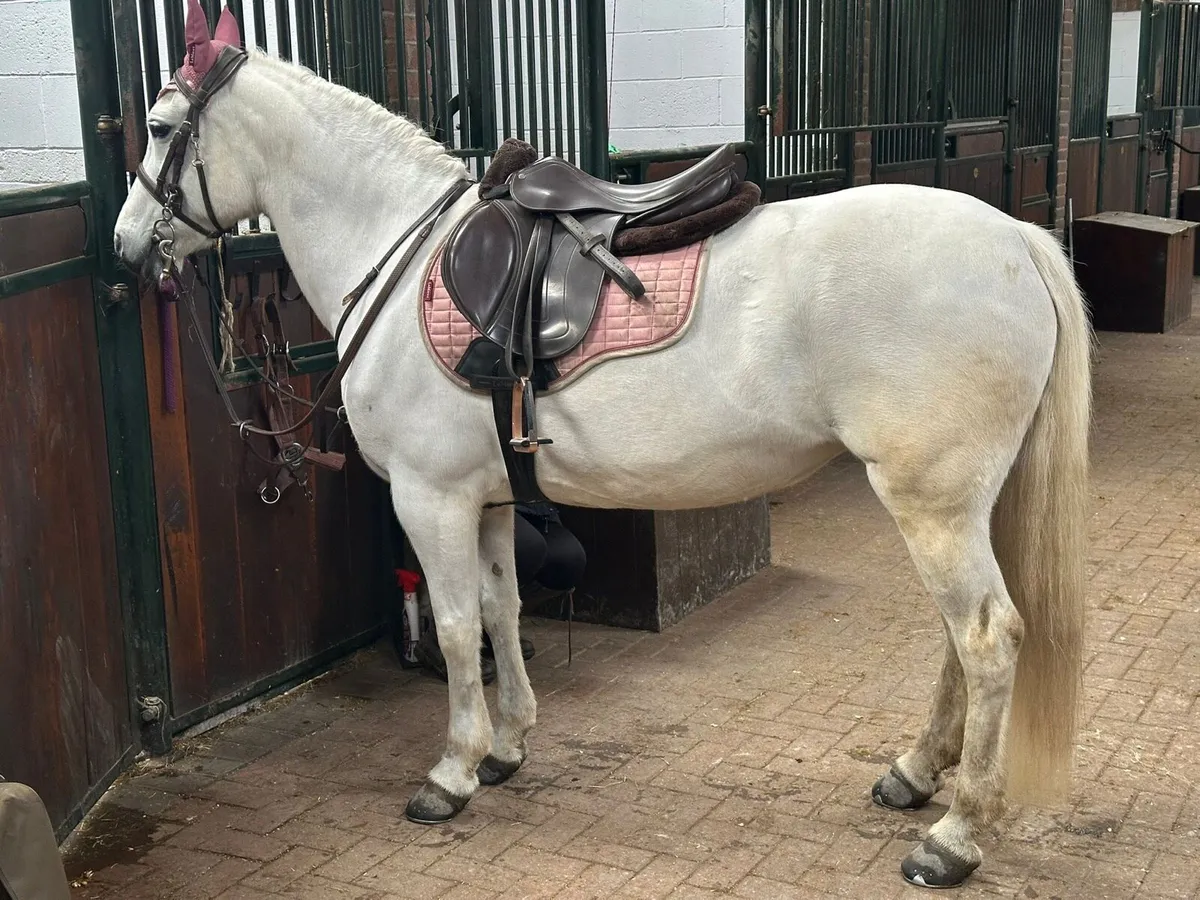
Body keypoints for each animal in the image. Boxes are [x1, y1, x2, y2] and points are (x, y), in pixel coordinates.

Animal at [113, 3, 1091, 888]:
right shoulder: (488, 498)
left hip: (933, 505)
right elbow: (502, 612)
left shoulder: (431, 497)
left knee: (986, 638)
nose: (125, 246)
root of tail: (1015, 237)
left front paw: (451, 773)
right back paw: (915, 775)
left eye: (159, 128)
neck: (400, 251)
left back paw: (952, 837)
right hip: (961, 507)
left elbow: (457, 627)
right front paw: (506, 748)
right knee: (957, 640)